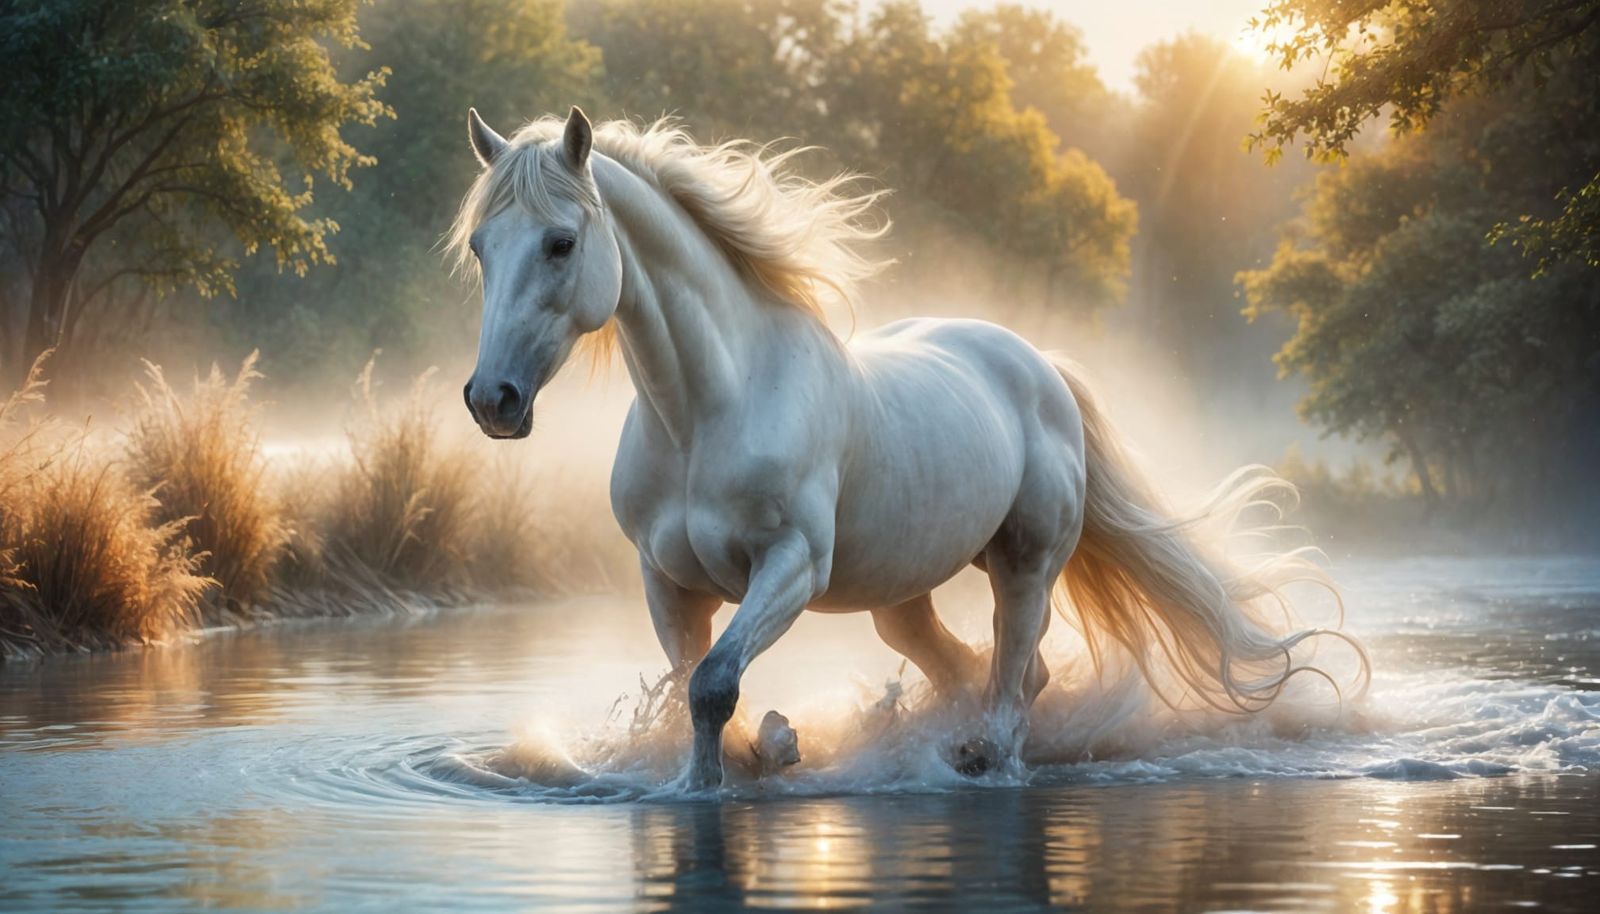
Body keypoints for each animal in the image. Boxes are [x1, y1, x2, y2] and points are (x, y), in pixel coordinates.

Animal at [452, 107, 1365, 790]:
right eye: (480, 246)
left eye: (562, 242)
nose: (493, 401)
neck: (706, 413)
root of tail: (1042, 366)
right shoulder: (666, 583)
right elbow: (696, 687)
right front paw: (769, 748)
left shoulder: (791, 565)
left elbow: (712, 685)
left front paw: (727, 775)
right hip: (902, 598)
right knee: (975, 671)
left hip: (1025, 564)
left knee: (1011, 682)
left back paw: (979, 759)